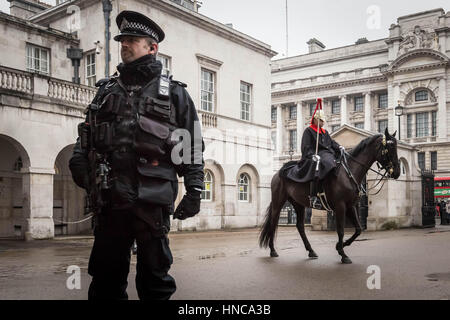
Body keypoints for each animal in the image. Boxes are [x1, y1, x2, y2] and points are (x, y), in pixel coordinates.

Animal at [260, 129, 400, 264]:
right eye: (390, 147)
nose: (397, 173)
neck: (348, 173)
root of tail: (278, 172)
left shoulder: (351, 205)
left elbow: (358, 229)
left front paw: (340, 246)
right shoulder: (340, 206)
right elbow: (341, 230)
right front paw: (343, 254)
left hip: (298, 204)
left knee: (300, 226)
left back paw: (311, 251)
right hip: (278, 202)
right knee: (273, 223)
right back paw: (273, 250)